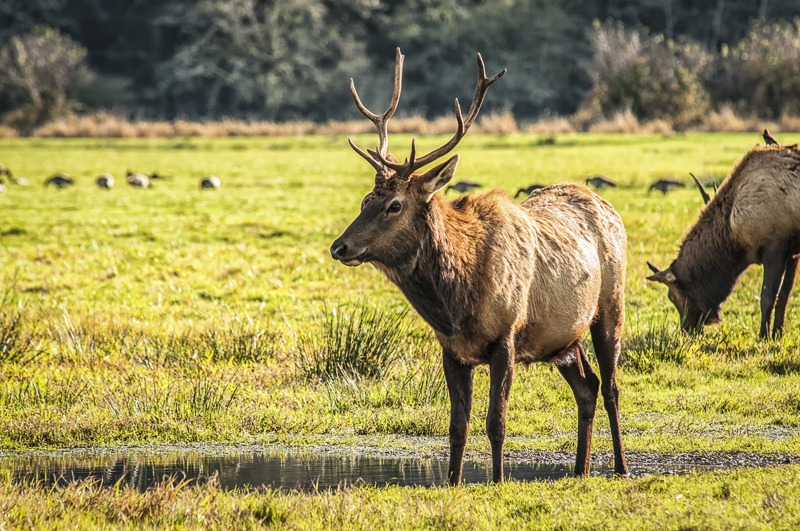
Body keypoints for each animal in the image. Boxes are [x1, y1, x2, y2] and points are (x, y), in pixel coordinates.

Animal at [330, 48, 629, 485]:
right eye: (365, 200)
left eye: (394, 205)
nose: (340, 246)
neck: (457, 305)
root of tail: (606, 204)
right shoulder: (452, 350)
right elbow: (458, 425)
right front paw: (452, 483)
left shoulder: (507, 335)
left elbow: (496, 422)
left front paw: (498, 481)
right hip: (563, 338)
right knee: (586, 387)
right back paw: (580, 470)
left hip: (611, 306)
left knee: (610, 387)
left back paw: (621, 467)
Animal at [647, 142, 800, 339]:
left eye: (671, 297)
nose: (686, 329)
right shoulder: (793, 252)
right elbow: (784, 295)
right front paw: (778, 333)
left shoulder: (774, 246)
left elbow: (767, 296)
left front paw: (763, 335)